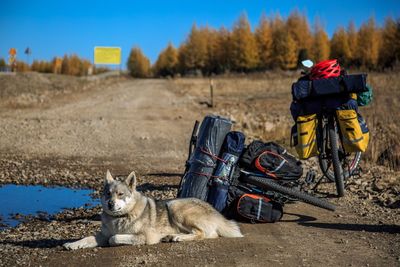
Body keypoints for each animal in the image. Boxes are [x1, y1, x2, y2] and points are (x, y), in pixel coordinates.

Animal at [64, 171, 242, 250]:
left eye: (120, 194)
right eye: (108, 193)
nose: (110, 204)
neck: (120, 218)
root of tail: (216, 212)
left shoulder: (145, 237)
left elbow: (114, 238)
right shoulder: (101, 235)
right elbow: (88, 238)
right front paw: (72, 244)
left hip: (176, 207)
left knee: (201, 234)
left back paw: (177, 237)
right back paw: (171, 236)